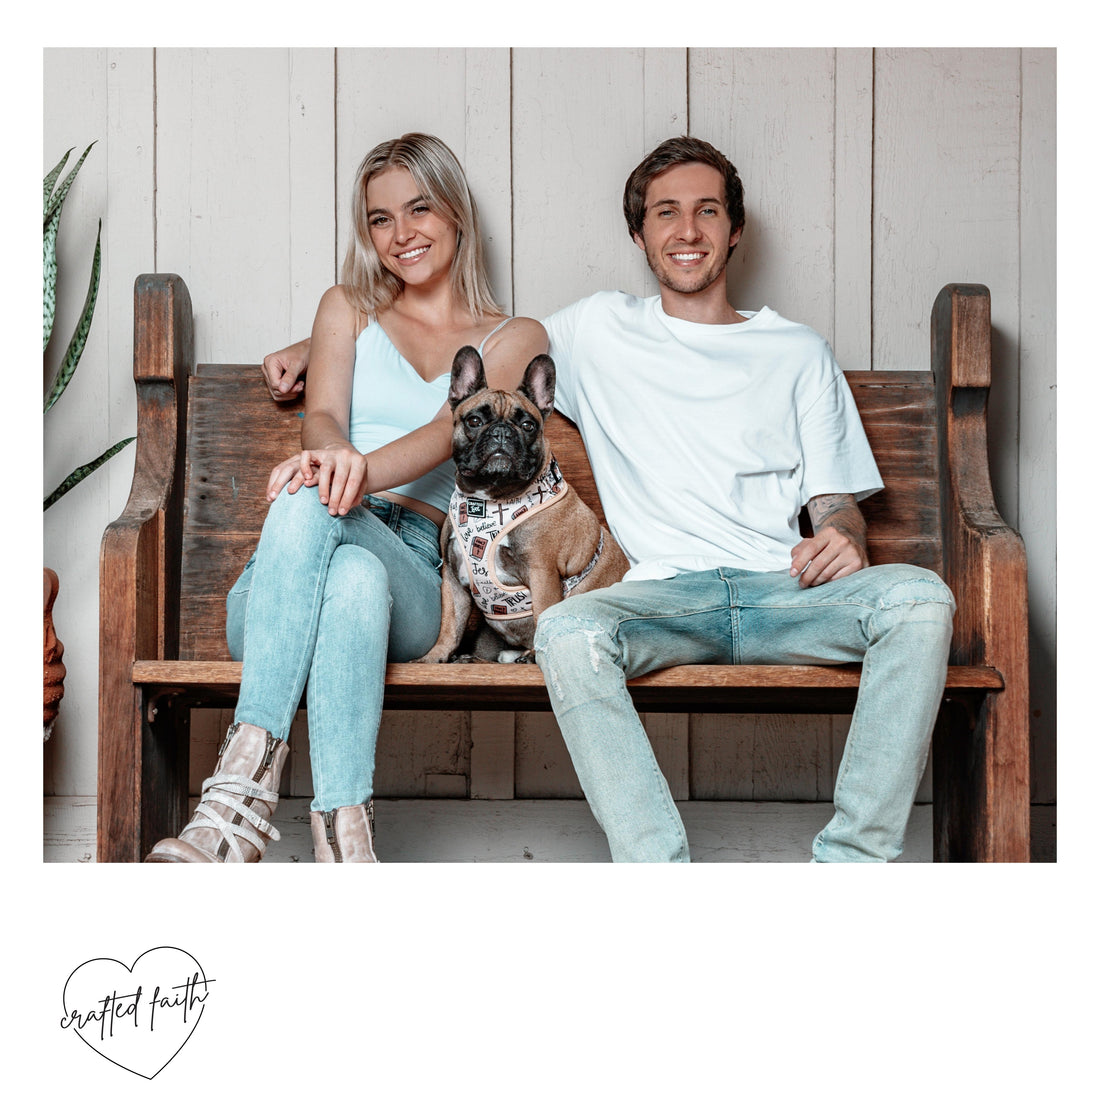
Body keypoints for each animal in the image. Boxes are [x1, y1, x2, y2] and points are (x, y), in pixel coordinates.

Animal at [415, 347, 633, 664]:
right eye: (474, 421)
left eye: (528, 426)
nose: (502, 432)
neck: (492, 497)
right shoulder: (452, 581)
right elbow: (450, 625)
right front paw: (435, 657)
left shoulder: (542, 573)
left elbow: (543, 613)